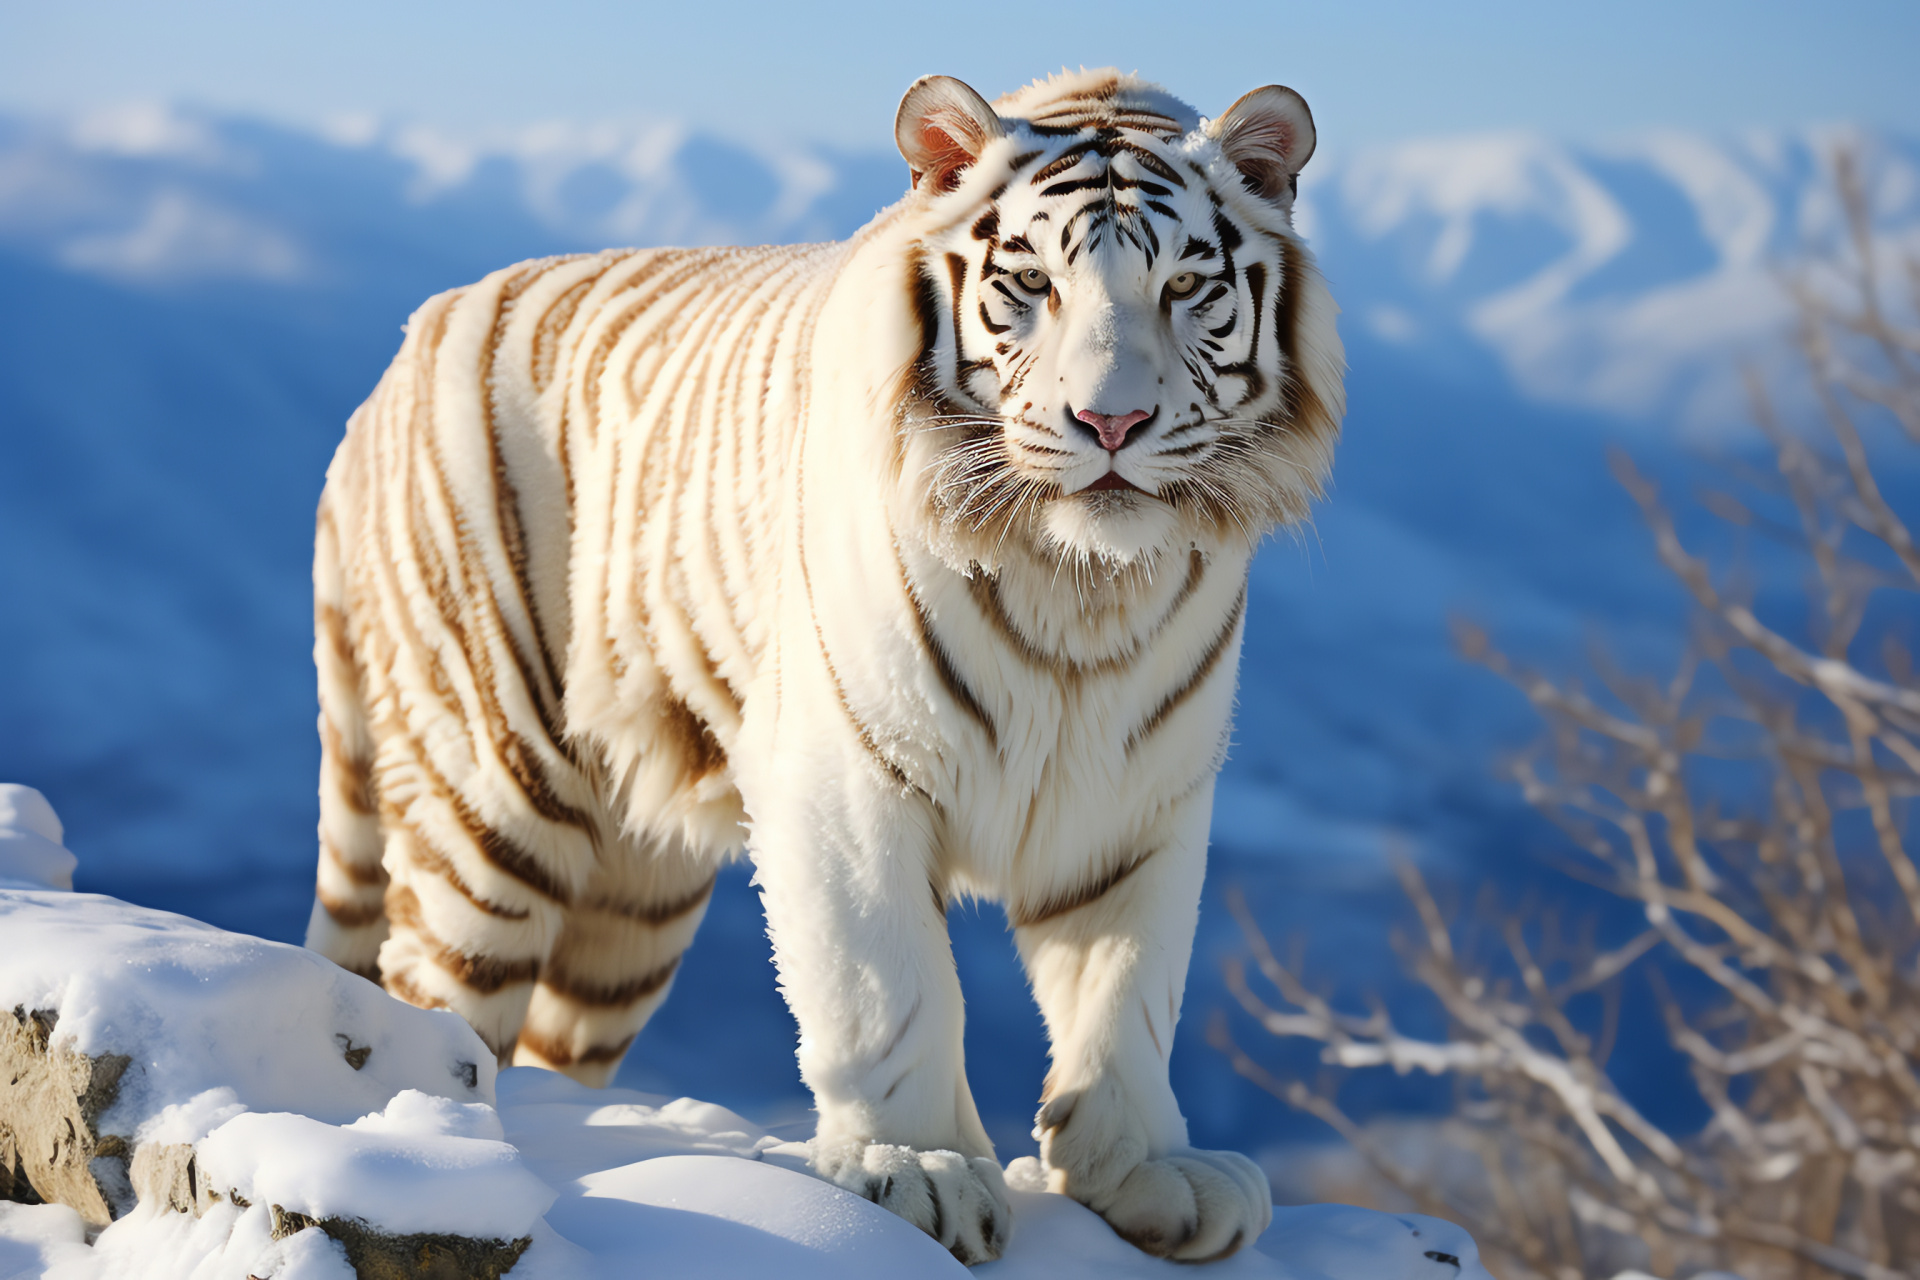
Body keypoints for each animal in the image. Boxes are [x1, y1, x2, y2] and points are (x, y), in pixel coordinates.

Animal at [303, 67, 1351, 1258]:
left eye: (1184, 286)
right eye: (1031, 282)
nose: (1112, 419)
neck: (1081, 586)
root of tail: (402, 347)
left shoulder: (1143, 797)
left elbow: (1128, 987)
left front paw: (1147, 1169)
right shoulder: (844, 771)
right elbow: (889, 980)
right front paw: (920, 1167)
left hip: (634, 903)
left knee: (555, 1043)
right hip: (492, 793)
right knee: (433, 996)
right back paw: (448, 1158)